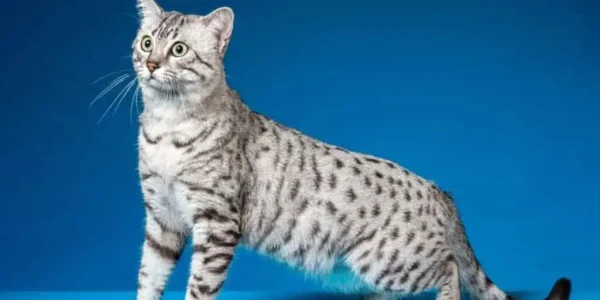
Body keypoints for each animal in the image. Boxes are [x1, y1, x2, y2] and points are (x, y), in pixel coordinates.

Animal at [131, 0, 572, 300]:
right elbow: (148, 277)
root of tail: (437, 190)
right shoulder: (161, 218)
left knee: (449, 268)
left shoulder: (217, 221)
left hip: (387, 260)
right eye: (146, 42)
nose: (151, 64)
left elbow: (199, 286)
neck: (166, 125)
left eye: (179, 50)